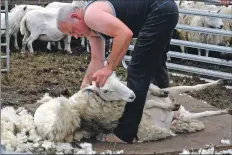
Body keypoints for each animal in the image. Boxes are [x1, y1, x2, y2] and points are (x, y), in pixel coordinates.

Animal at [33, 72, 231, 143]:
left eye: (115, 77)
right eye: (105, 90)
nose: (132, 96)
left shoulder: (171, 91)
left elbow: (193, 87)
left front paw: (219, 82)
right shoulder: (140, 108)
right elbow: (153, 102)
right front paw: (166, 102)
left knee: (204, 112)